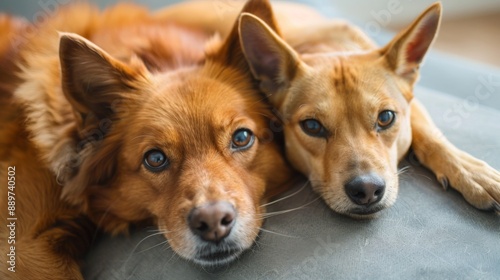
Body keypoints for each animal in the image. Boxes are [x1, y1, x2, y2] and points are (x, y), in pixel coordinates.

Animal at [158, 0, 498, 217]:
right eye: (312, 126)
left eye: (386, 118)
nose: (367, 189)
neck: (327, 48)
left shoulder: (412, 104)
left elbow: (429, 135)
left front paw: (472, 172)